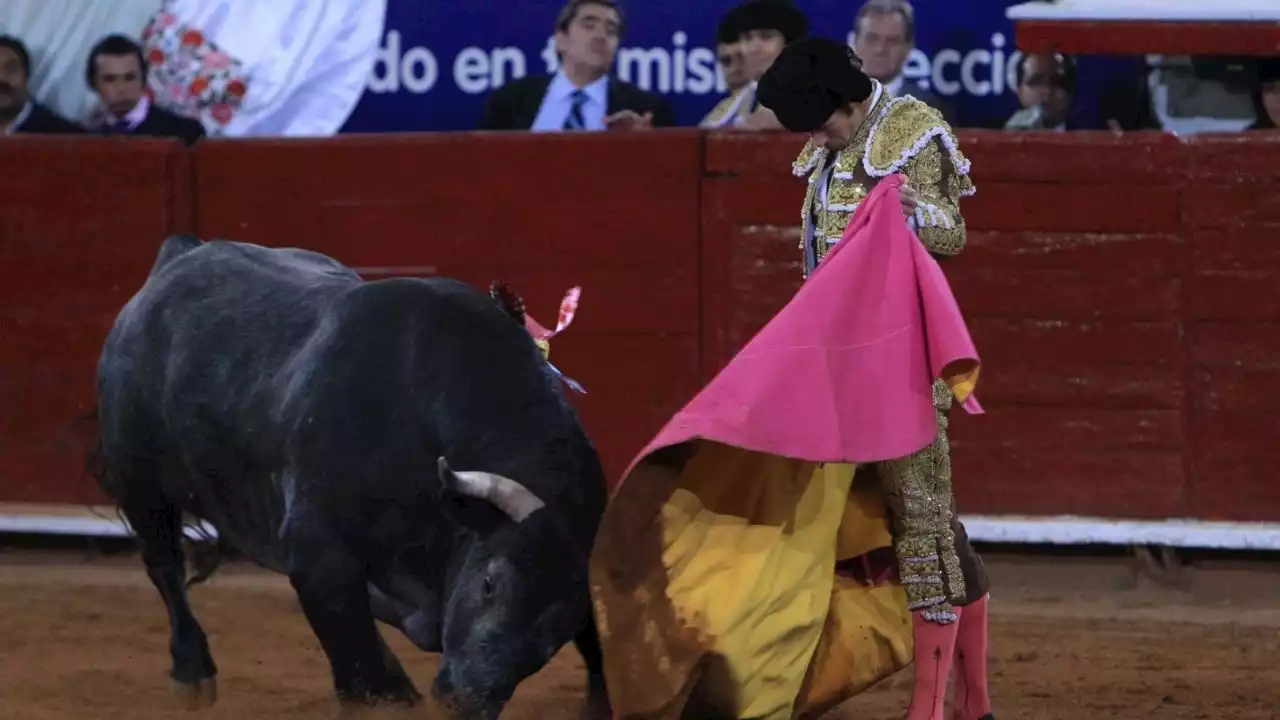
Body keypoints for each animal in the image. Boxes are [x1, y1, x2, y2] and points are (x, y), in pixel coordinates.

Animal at [91, 234, 609, 712]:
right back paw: (192, 672)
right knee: (165, 564)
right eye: (489, 582)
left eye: (556, 630)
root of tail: (178, 256)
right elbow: (358, 671)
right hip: (140, 482)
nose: (465, 699)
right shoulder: (318, 551)